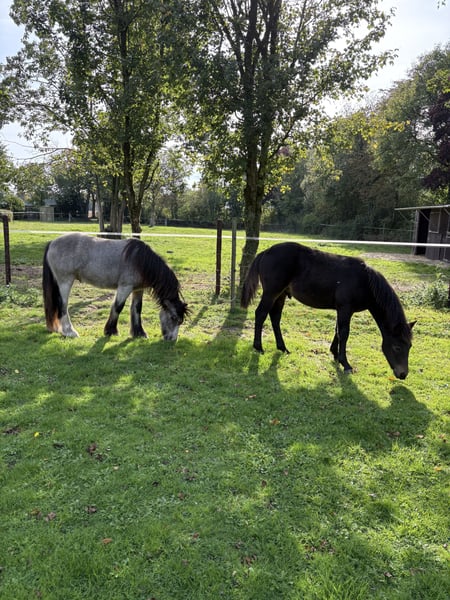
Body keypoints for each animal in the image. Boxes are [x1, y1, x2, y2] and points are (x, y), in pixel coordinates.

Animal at [43, 233, 188, 341]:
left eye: (180, 321)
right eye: (173, 317)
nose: (172, 339)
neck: (140, 260)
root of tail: (52, 242)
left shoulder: (138, 290)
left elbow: (137, 309)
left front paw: (139, 333)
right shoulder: (125, 287)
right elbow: (118, 307)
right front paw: (110, 331)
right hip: (65, 282)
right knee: (63, 305)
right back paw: (69, 332)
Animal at [241, 242, 415, 379]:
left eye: (410, 347)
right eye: (397, 347)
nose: (403, 374)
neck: (364, 281)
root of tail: (265, 252)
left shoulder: (342, 309)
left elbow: (337, 330)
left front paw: (335, 355)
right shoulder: (345, 308)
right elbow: (344, 333)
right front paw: (345, 363)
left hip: (281, 294)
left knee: (275, 317)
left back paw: (283, 348)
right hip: (271, 292)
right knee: (260, 314)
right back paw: (258, 347)